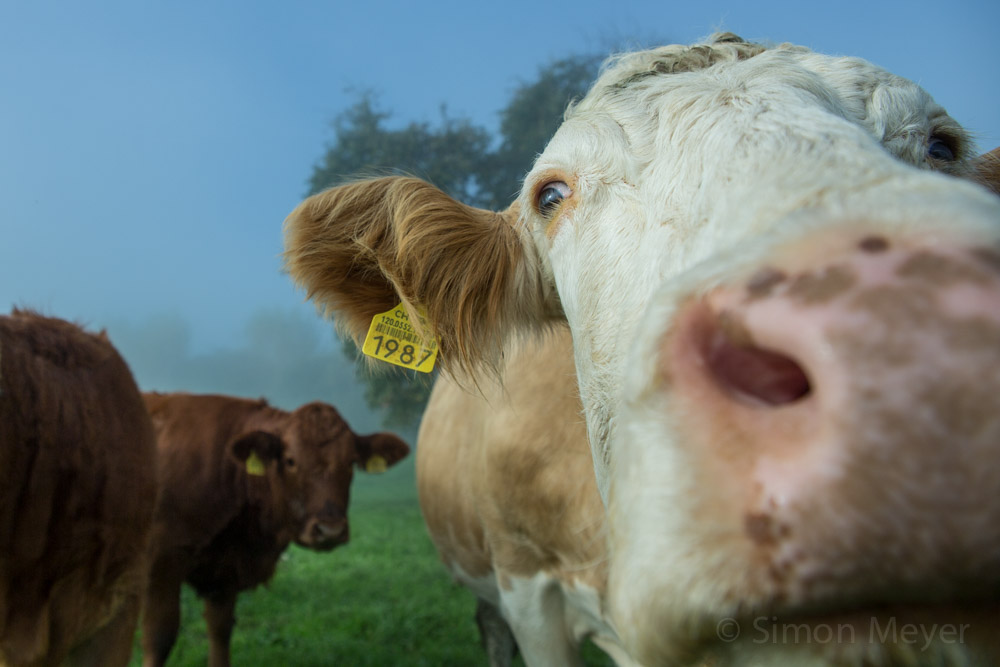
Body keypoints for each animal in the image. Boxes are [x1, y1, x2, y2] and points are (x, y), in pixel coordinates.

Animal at [140, 392, 406, 667]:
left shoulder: (224, 570)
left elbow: (220, 631)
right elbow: (159, 637)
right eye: (290, 461)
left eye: (351, 461)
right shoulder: (160, 564)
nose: (330, 530)